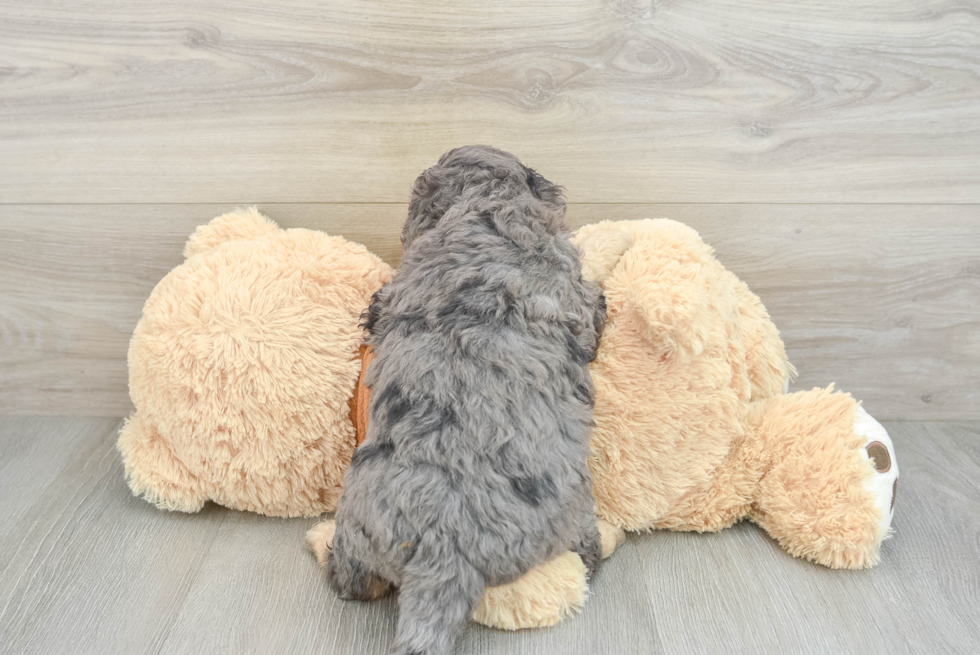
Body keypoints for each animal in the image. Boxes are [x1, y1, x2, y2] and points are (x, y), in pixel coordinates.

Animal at [330, 147, 604, 655]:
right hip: (574, 505)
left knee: (355, 579)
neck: (489, 203)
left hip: (359, 528)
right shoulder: (573, 288)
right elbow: (593, 309)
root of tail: (444, 555)